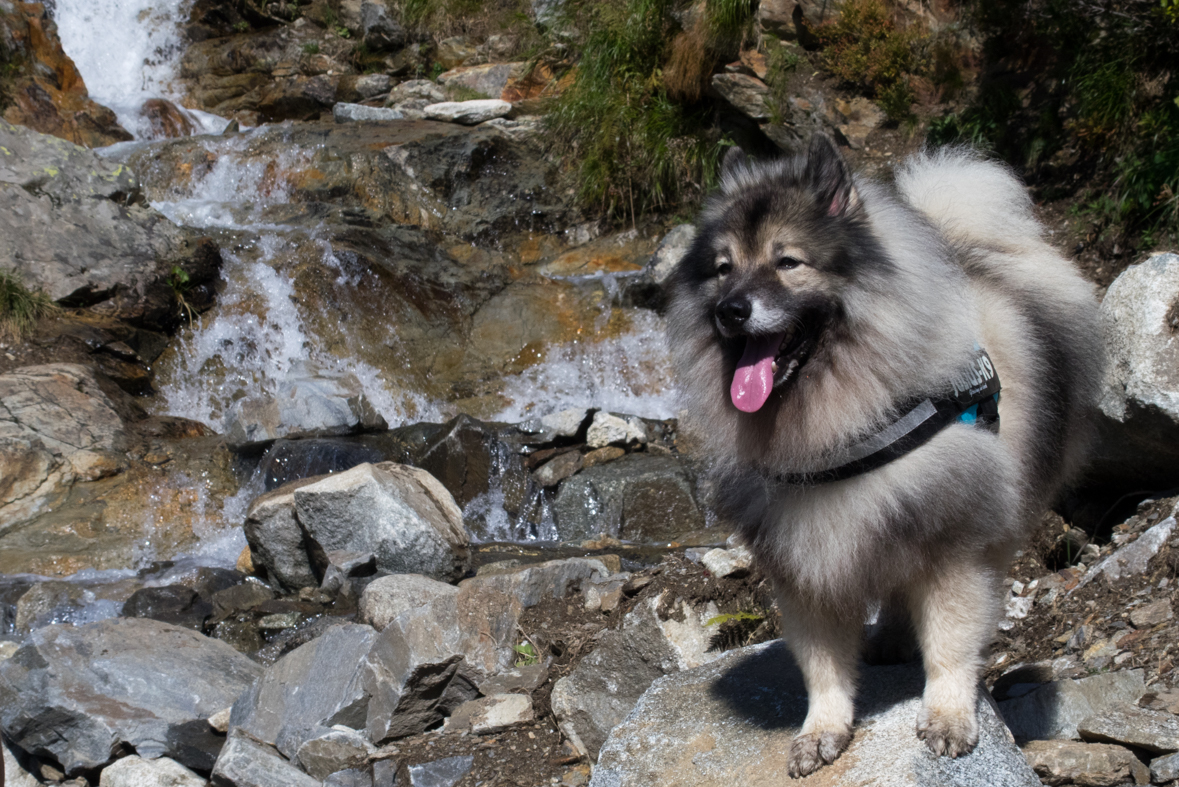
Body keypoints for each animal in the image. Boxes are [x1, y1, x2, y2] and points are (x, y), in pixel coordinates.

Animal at [669, 135, 1098, 772]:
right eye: (724, 270)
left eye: (787, 262)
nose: (731, 310)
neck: (840, 418)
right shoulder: (806, 562)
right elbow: (822, 668)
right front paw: (822, 730)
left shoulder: (953, 542)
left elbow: (950, 643)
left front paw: (947, 715)